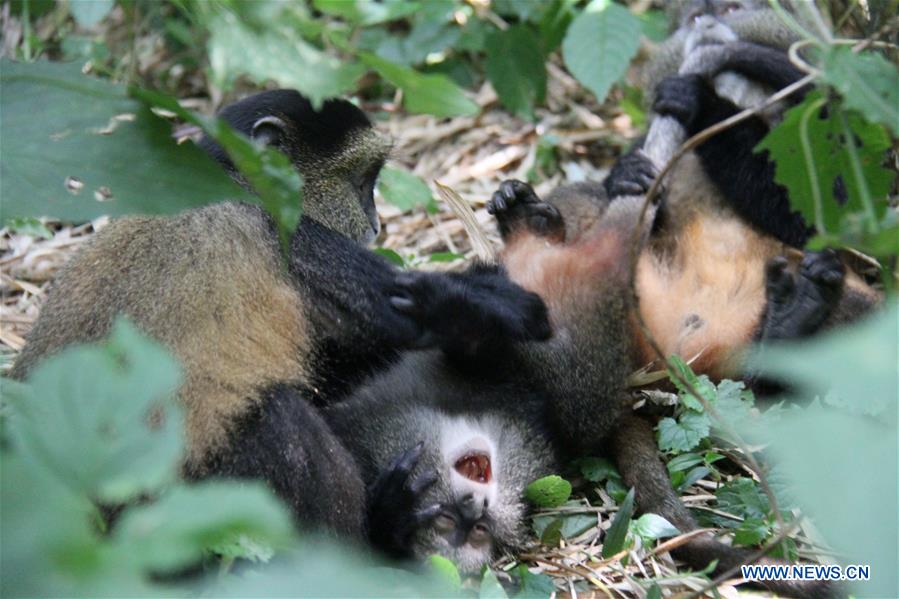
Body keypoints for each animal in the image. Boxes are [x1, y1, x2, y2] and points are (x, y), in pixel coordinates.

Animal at [9, 90, 552, 540]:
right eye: (361, 182)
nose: (376, 223)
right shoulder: (293, 240)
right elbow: (420, 323)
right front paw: (501, 301)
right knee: (277, 417)